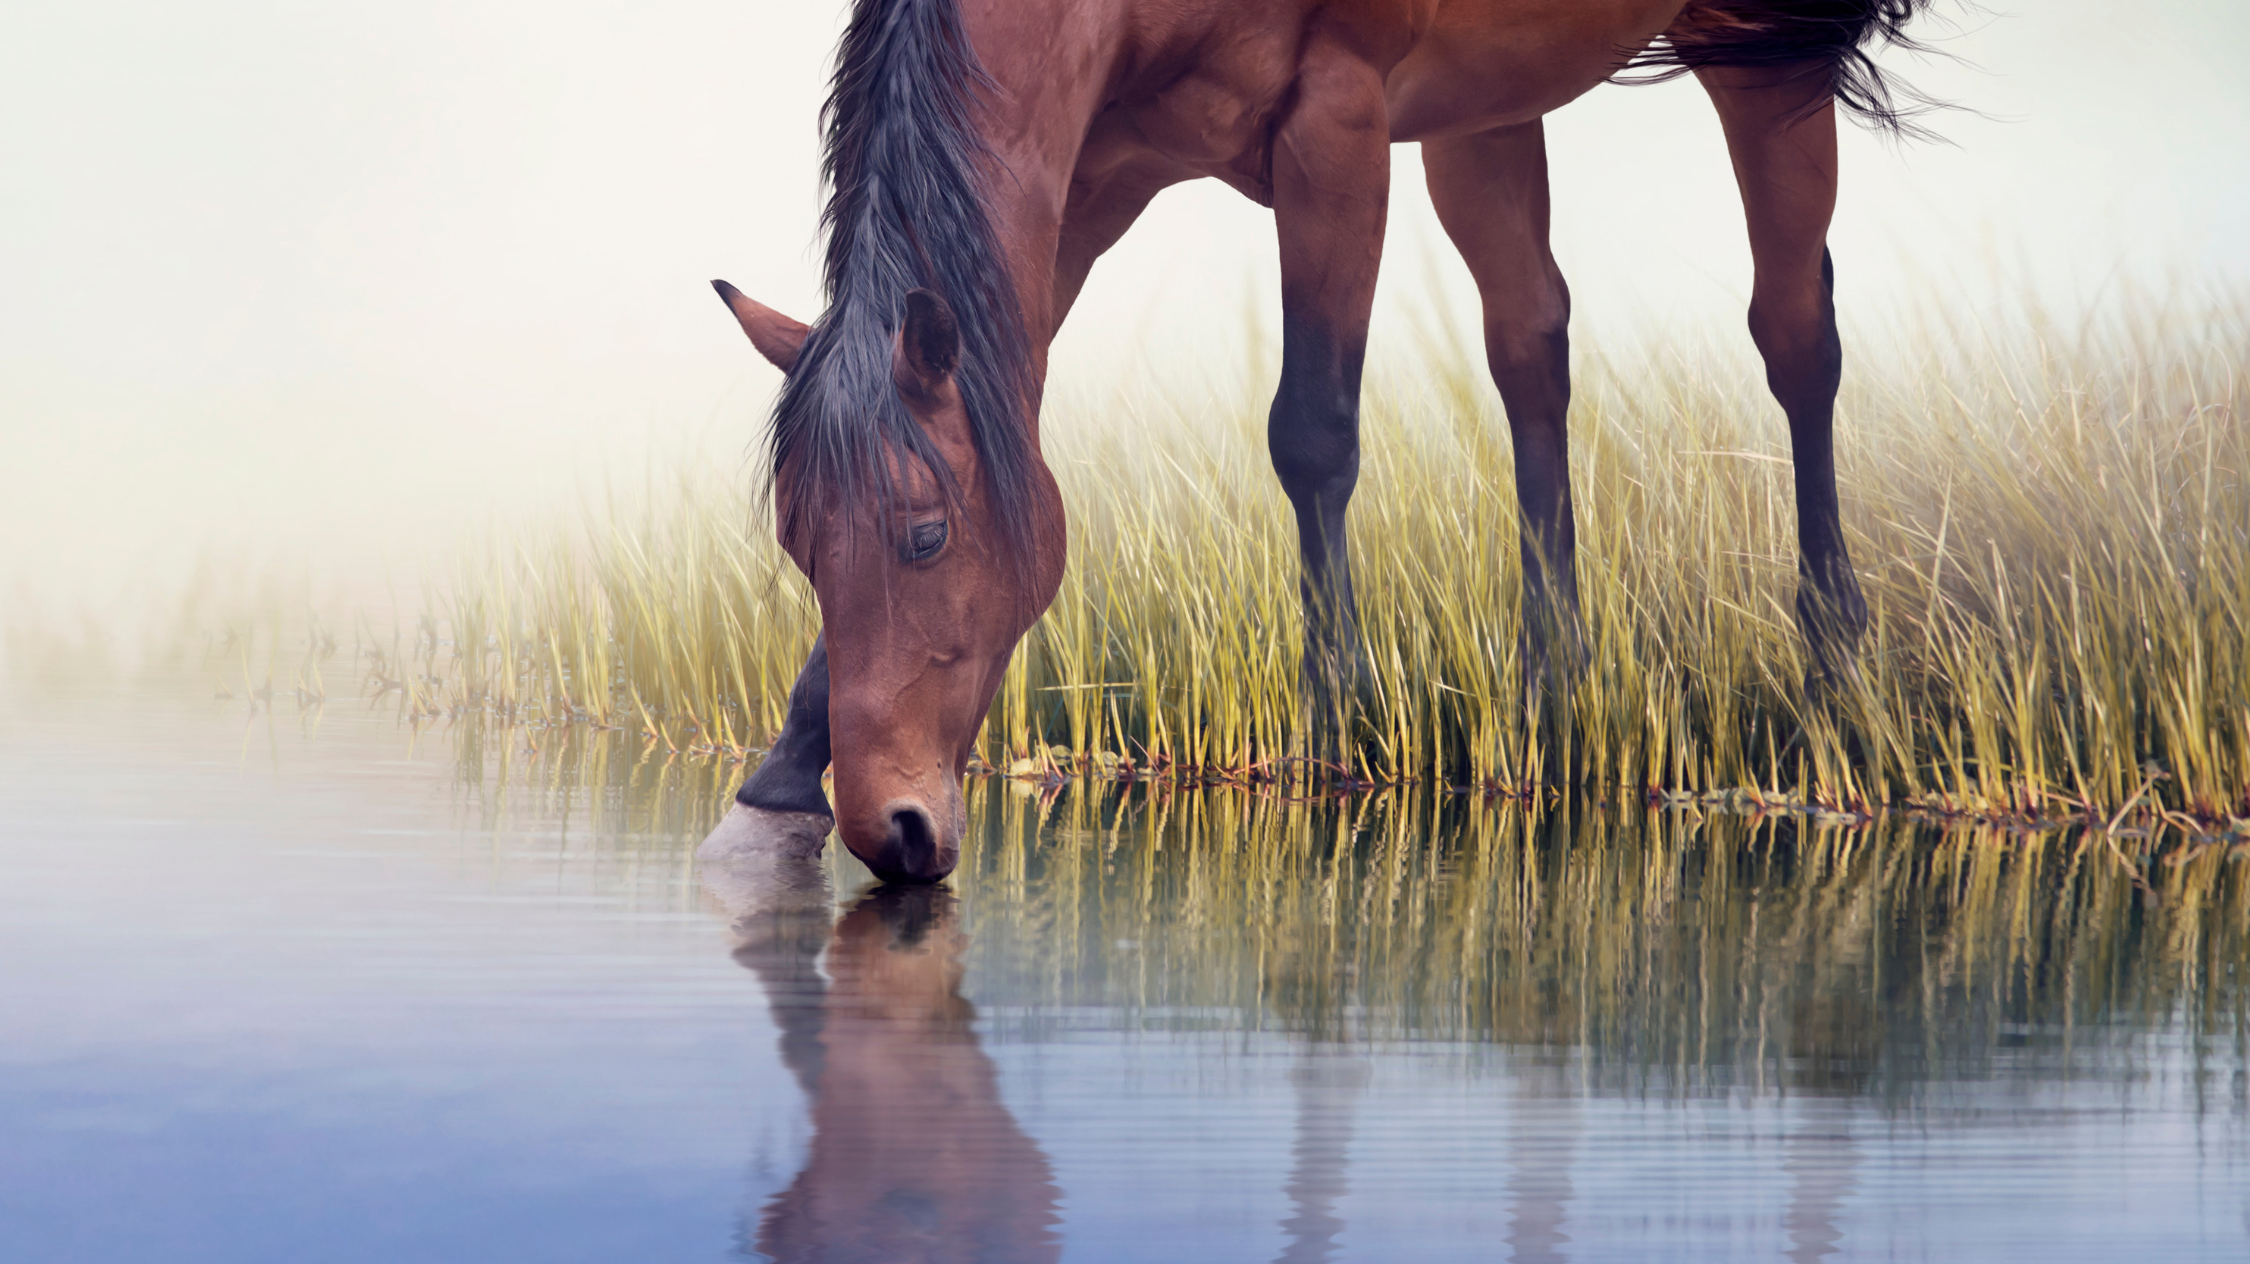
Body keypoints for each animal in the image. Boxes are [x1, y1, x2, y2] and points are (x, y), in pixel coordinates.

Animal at [710, 0, 1934, 883]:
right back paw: (1553, 688)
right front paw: (773, 795)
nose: (893, 831)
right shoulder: (1090, 173)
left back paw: (1834, 664)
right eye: (798, 547)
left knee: (1796, 333)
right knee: (1532, 345)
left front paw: (1330, 740)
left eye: (925, 537)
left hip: (1754, 47)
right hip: (1485, 102)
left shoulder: (1336, 124)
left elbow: (1313, 433)